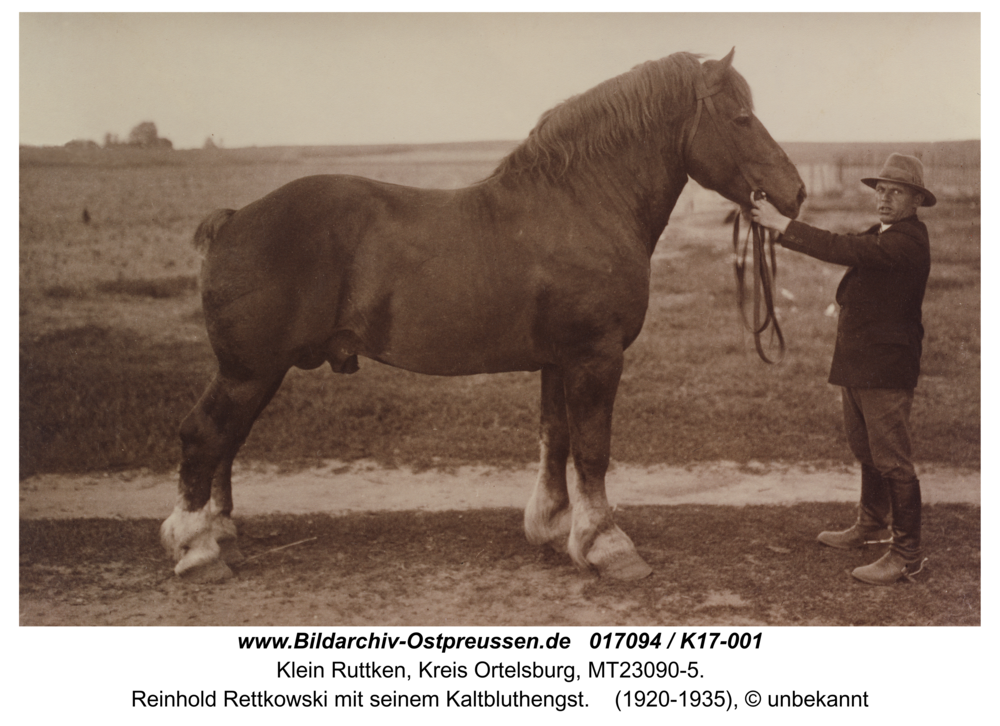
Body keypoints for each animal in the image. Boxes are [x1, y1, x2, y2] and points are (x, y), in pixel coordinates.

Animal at [162, 49, 804, 584]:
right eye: (740, 118)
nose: (793, 194)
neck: (582, 205)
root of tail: (233, 220)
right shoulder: (595, 357)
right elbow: (592, 449)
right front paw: (607, 545)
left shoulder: (559, 361)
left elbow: (555, 439)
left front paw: (553, 527)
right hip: (249, 371)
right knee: (204, 436)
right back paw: (197, 550)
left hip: (257, 372)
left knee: (226, 441)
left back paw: (217, 534)